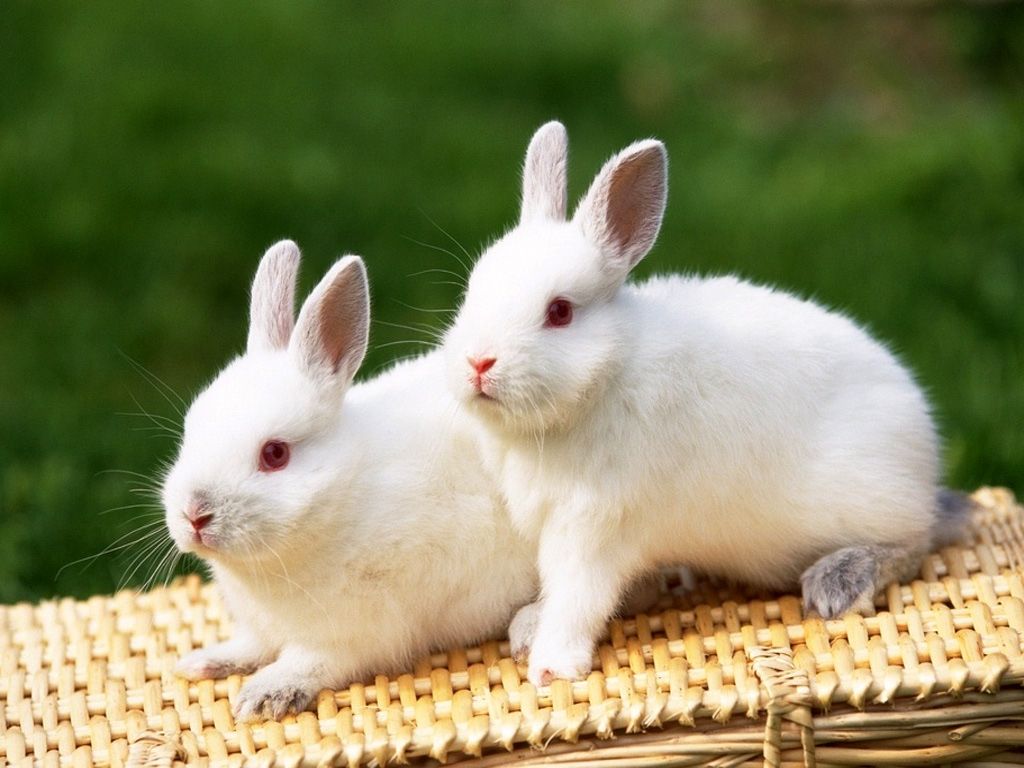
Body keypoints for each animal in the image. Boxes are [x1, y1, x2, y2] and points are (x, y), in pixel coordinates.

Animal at [162, 240, 538, 720]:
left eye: (275, 454)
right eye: (190, 430)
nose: (194, 514)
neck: (343, 498)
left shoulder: (359, 632)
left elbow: (313, 660)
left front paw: (264, 696)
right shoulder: (261, 628)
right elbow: (251, 645)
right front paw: (206, 661)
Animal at [442, 121, 964, 687]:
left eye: (559, 312)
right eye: (472, 291)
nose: (477, 363)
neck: (605, 379)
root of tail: (924, 447)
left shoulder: (593, 528)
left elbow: (577, 599)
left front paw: (551, 667)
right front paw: (528, 625)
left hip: (873, 499)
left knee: (915, 543)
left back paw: (838, 581)